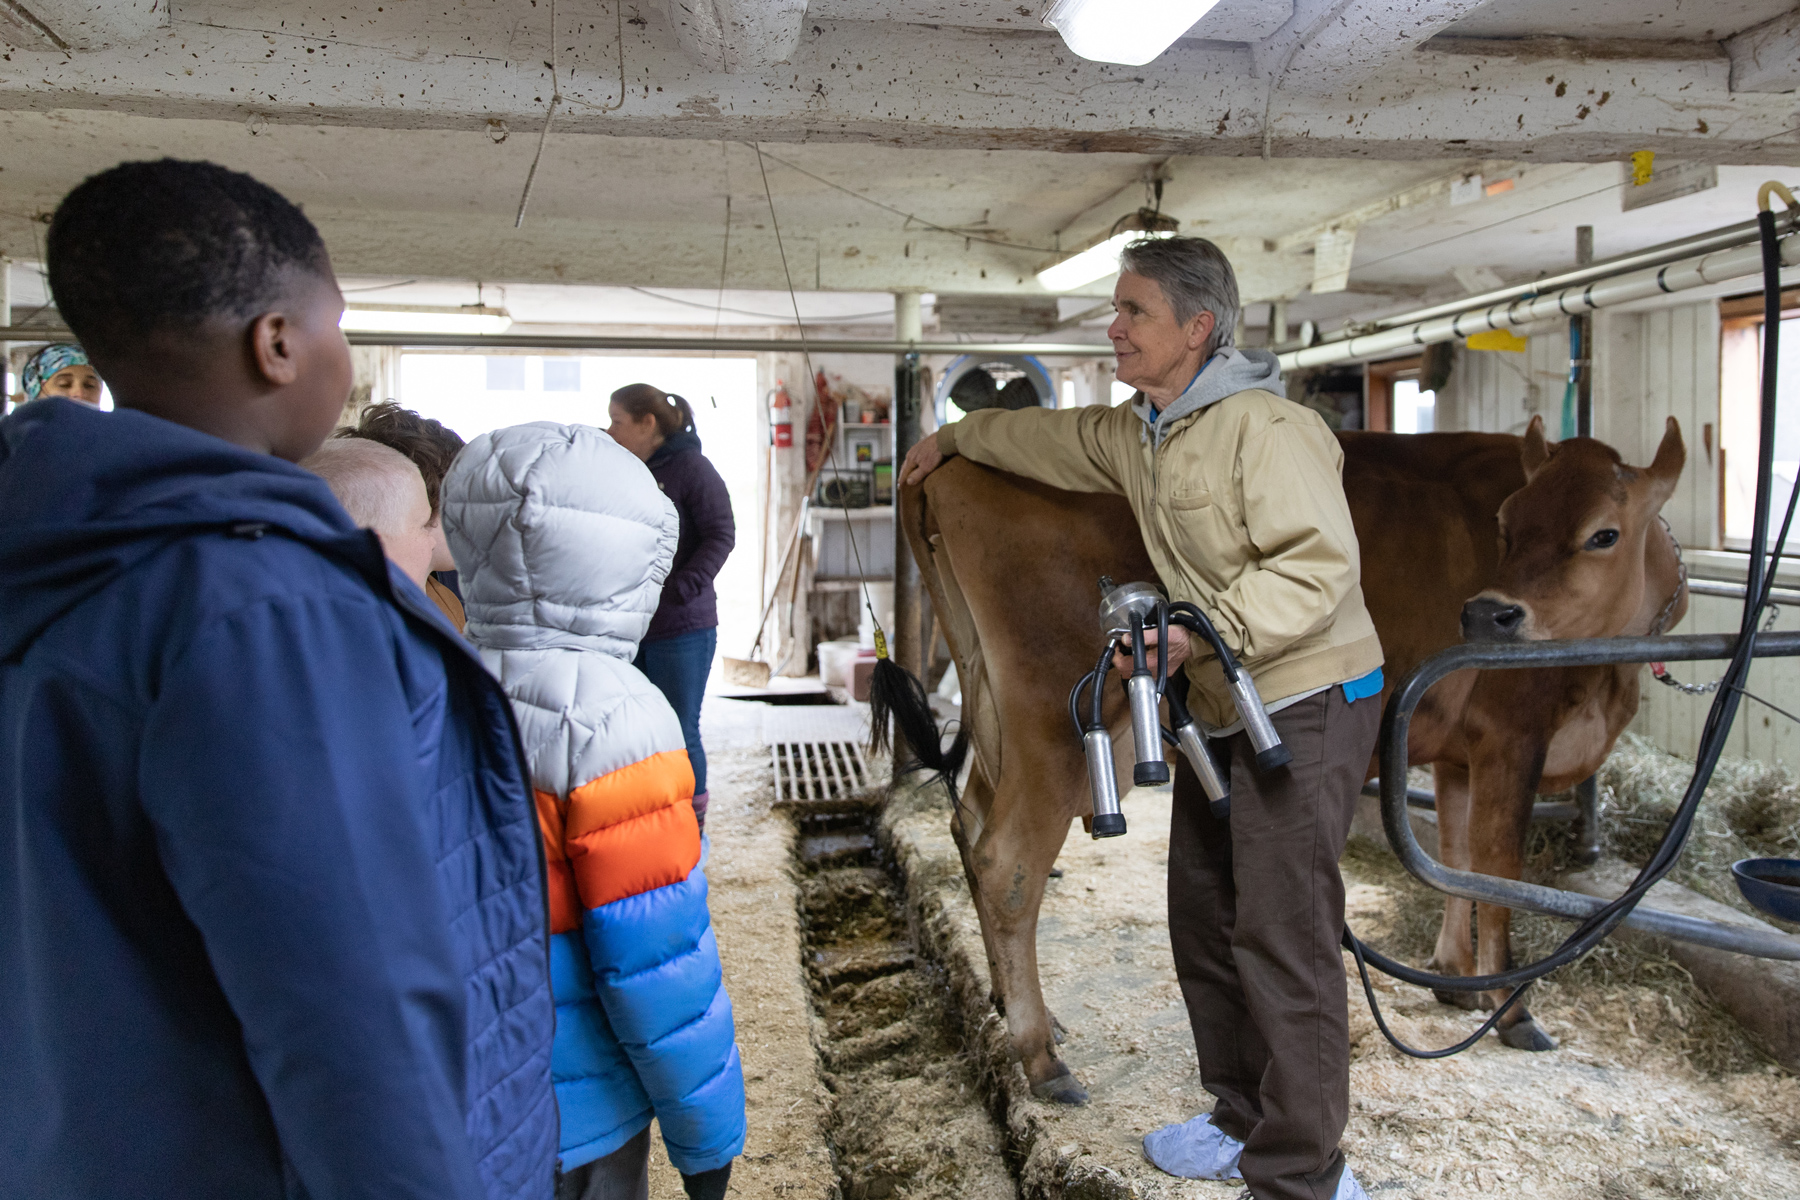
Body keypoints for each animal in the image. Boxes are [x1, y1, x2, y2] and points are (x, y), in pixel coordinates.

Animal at [914, 417, 1684, 1101]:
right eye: (1506, 523)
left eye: (1603, 534)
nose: (1488, 616)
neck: (1604, 683)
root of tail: (943, 468)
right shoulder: (1512, 734)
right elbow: (1500, 873)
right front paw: (1513, 1011)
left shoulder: (1459, 756)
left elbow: (1456, 858)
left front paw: (1453, 976)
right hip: (1052, 724)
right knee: (1006, 864)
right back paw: (1041, 1057)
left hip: (1002, 723)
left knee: (968, 827)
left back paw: (1013, 1005)